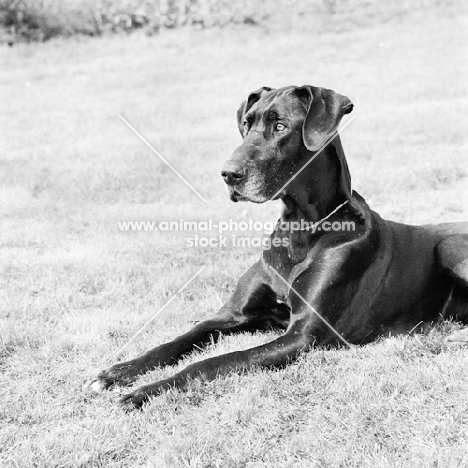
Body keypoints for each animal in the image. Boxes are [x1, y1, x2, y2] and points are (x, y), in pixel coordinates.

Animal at [88, 85, 468, 410]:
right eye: (247, 123)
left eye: (281, 126)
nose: (228, 174)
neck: (300, 226)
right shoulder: (235, 315)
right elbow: (181, 337)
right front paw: (120, 371)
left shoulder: (303, 335)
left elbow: (211, 363)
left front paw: (144, 391)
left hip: (449, 247)